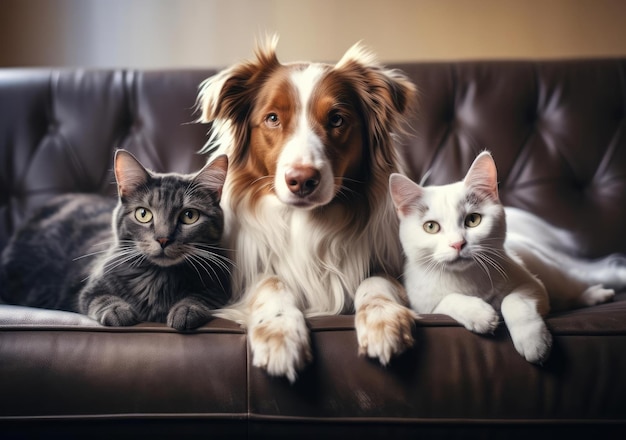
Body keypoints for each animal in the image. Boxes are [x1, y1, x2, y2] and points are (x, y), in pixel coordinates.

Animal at [0, 150, 229, 328]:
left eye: (189, 216)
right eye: (143, 214)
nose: (163, 239)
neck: (158, 278)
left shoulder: (219, 284)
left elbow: (203, 296)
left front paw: (186, 309)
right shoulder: (89, 287)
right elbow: (99, 298)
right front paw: (118, 310)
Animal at [197, 37, 416, 382]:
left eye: (337, 119)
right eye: (272, 118)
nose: (301, 180)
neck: (306, 221)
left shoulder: (390, 265)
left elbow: (375, 282)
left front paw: (385, 321)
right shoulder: (244, 279)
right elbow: (271, 281)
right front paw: (280, 334)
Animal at [390, 152, 620, 364]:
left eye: (473, 220)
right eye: (431, 227)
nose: (457, 244)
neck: (465, 278)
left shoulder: (533, 285)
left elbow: (513, 300)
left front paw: (533, 342)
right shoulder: (422, 306)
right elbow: (446, 301)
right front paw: (479, 314)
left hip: (555, 274)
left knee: (575, 285)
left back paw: (597, 294)